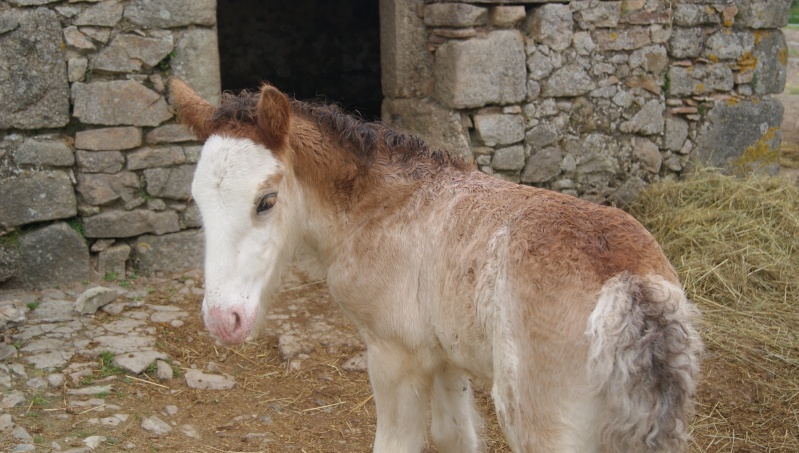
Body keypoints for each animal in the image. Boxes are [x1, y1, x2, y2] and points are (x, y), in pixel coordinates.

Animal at [172, 79, 704, 450]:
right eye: (197, 201)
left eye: (266, 201)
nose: (223, 320)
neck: (381, 206)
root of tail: (628, 284)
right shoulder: (447, 356)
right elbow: (455, 436)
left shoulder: (394, 356)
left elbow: (397, 444)